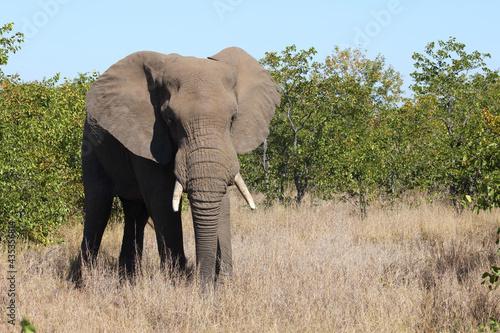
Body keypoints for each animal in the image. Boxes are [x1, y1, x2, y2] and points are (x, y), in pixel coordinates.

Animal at [77, 46, 282, 286]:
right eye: (170, 119)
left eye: (233, 117)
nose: (205, 285)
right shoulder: (148, 137)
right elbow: (163, 200)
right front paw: (178, 283)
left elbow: (221, 200)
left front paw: (223, 284)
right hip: (90, 144)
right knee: (98, 206)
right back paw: (84, 282)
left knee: (135, 212)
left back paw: (128, 281)